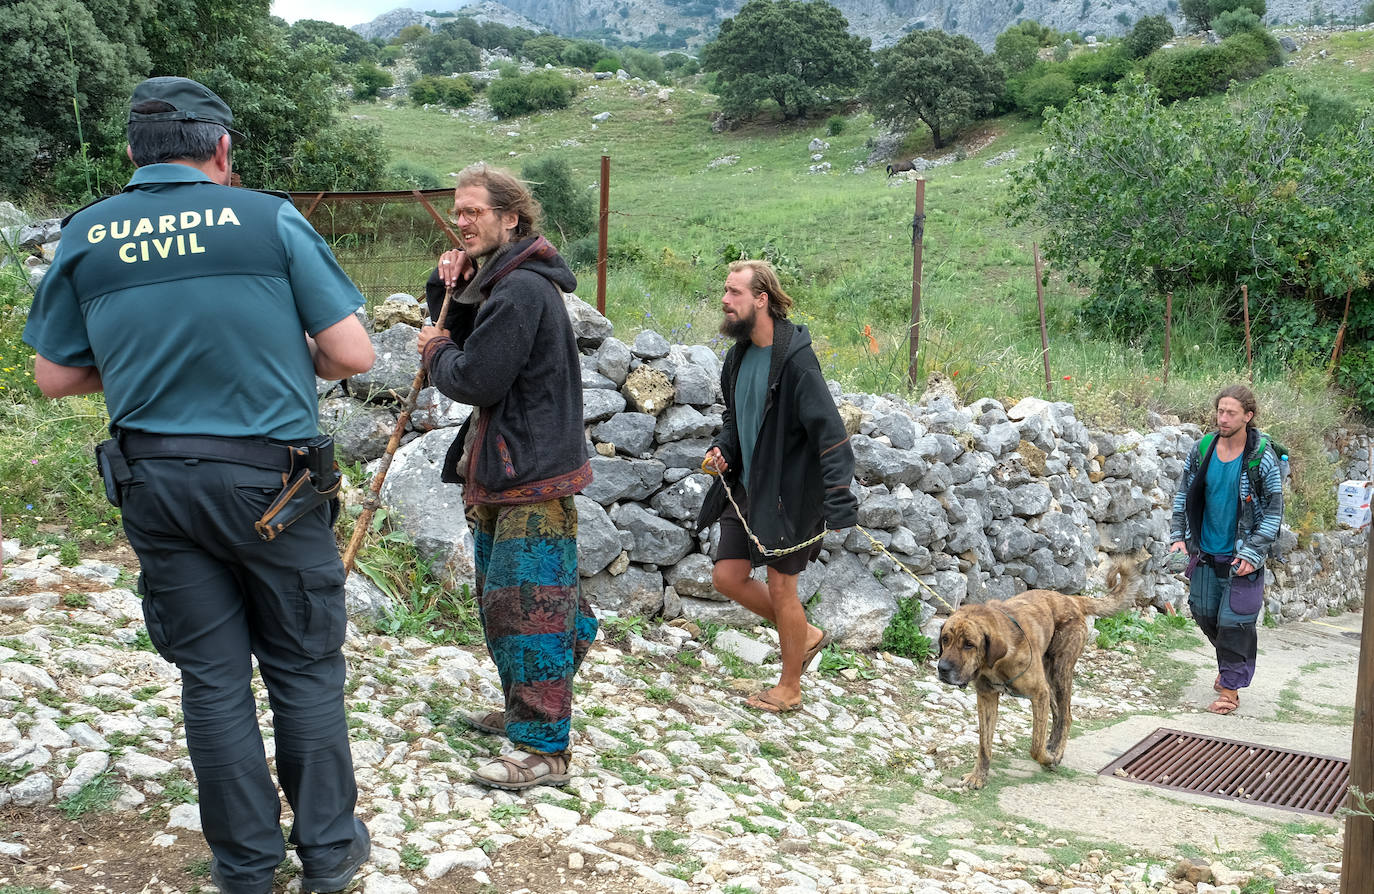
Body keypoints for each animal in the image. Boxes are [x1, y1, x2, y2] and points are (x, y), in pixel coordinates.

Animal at [934, 560, 1137, 791]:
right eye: (945, 639)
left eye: (969, 644)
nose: (942, 668)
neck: (993, 664)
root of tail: (1071, 599)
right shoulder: (986, 697)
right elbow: (984, 744)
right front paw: (978, 776)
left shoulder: (1039, 693)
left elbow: (1035, 746)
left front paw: (1048, 758)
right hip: (1050, 680)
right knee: (1058, 714)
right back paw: (1053, 745)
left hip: (1059, 672)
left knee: (1066, 716)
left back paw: (1056, 752)